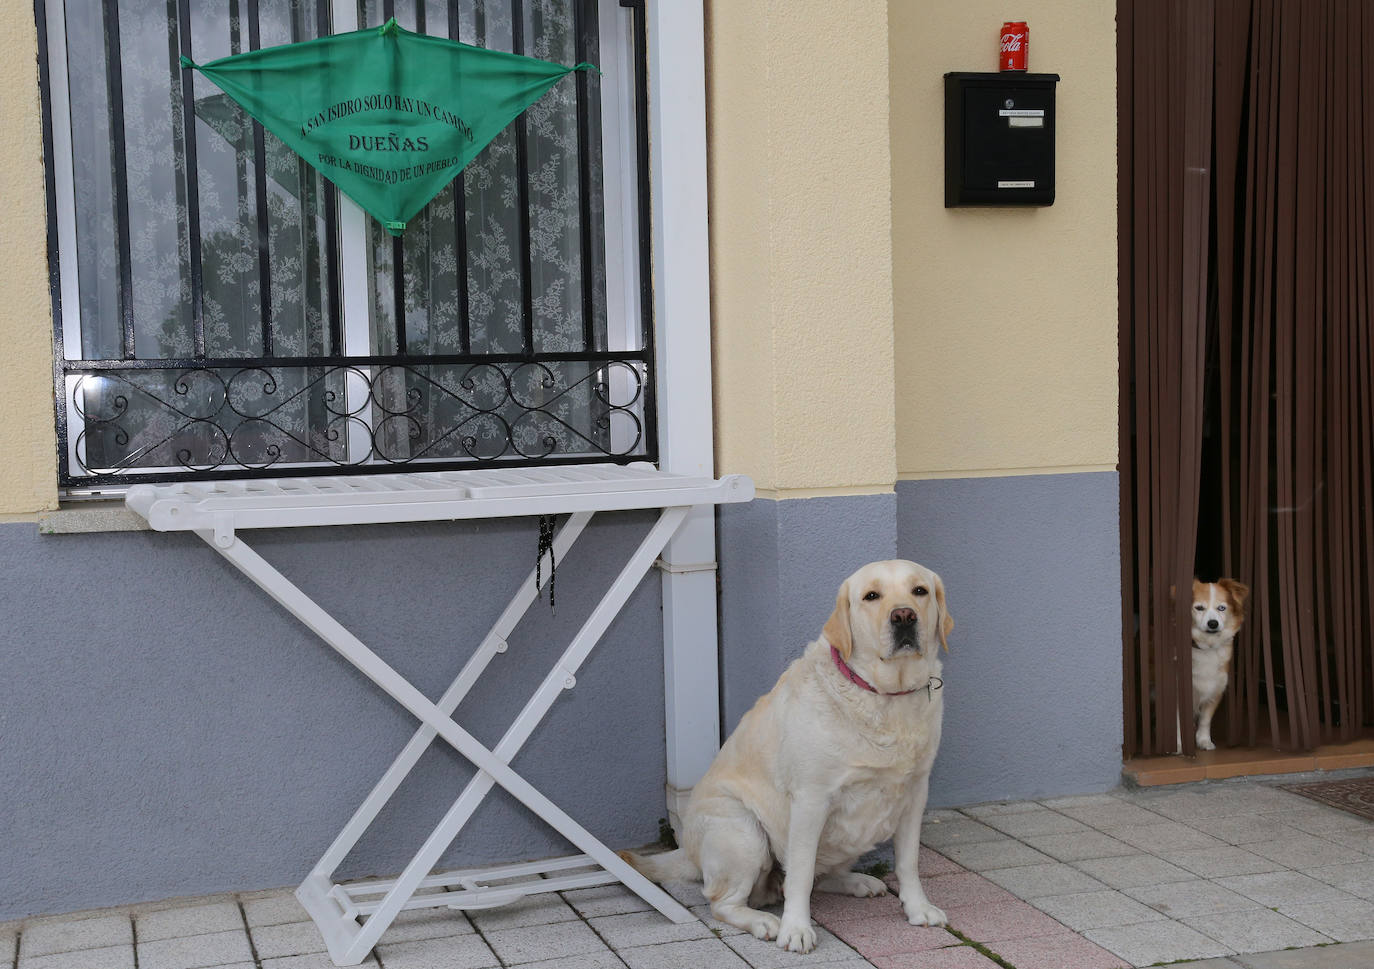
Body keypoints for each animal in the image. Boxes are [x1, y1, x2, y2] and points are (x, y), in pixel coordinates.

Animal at [626, 560, 956, 951]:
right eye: (871, 596)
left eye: (919, 591)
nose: (904, 616)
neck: (885, 696)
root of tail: (688, 852)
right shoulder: (812, 799)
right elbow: (800, 873)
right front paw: (796, 928)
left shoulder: (915, 793)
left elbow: (908, 862)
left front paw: (918, 908)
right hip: (743, 832)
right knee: (725, 902)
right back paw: (764, 921)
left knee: (817, 876)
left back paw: (858, 882)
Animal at [1198, 574, 1253, 747]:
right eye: (1199, 608)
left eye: (1221, 608)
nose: (1213, 623)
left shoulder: (1215, 688)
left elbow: (1205, 719)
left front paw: (1204, 740)